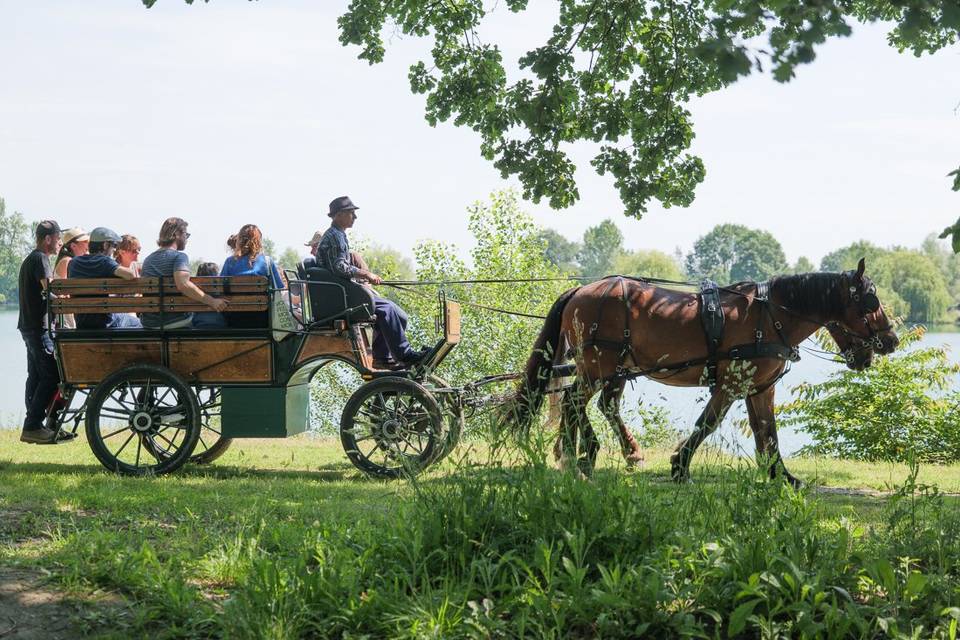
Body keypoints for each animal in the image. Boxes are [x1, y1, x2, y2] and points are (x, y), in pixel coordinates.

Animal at [512, 258, 896, 484]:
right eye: (871, 301)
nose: (891, 341)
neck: (770, 316)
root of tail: (580, 289)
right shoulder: (730, 385)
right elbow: (707, 424)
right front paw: (680, 466)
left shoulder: (760, 388)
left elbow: (767, 432)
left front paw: (780, 474)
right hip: (598, 365)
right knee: (574, 401)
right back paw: (582, 455)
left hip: (612, 368)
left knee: (593, 404)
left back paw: (591, 453)